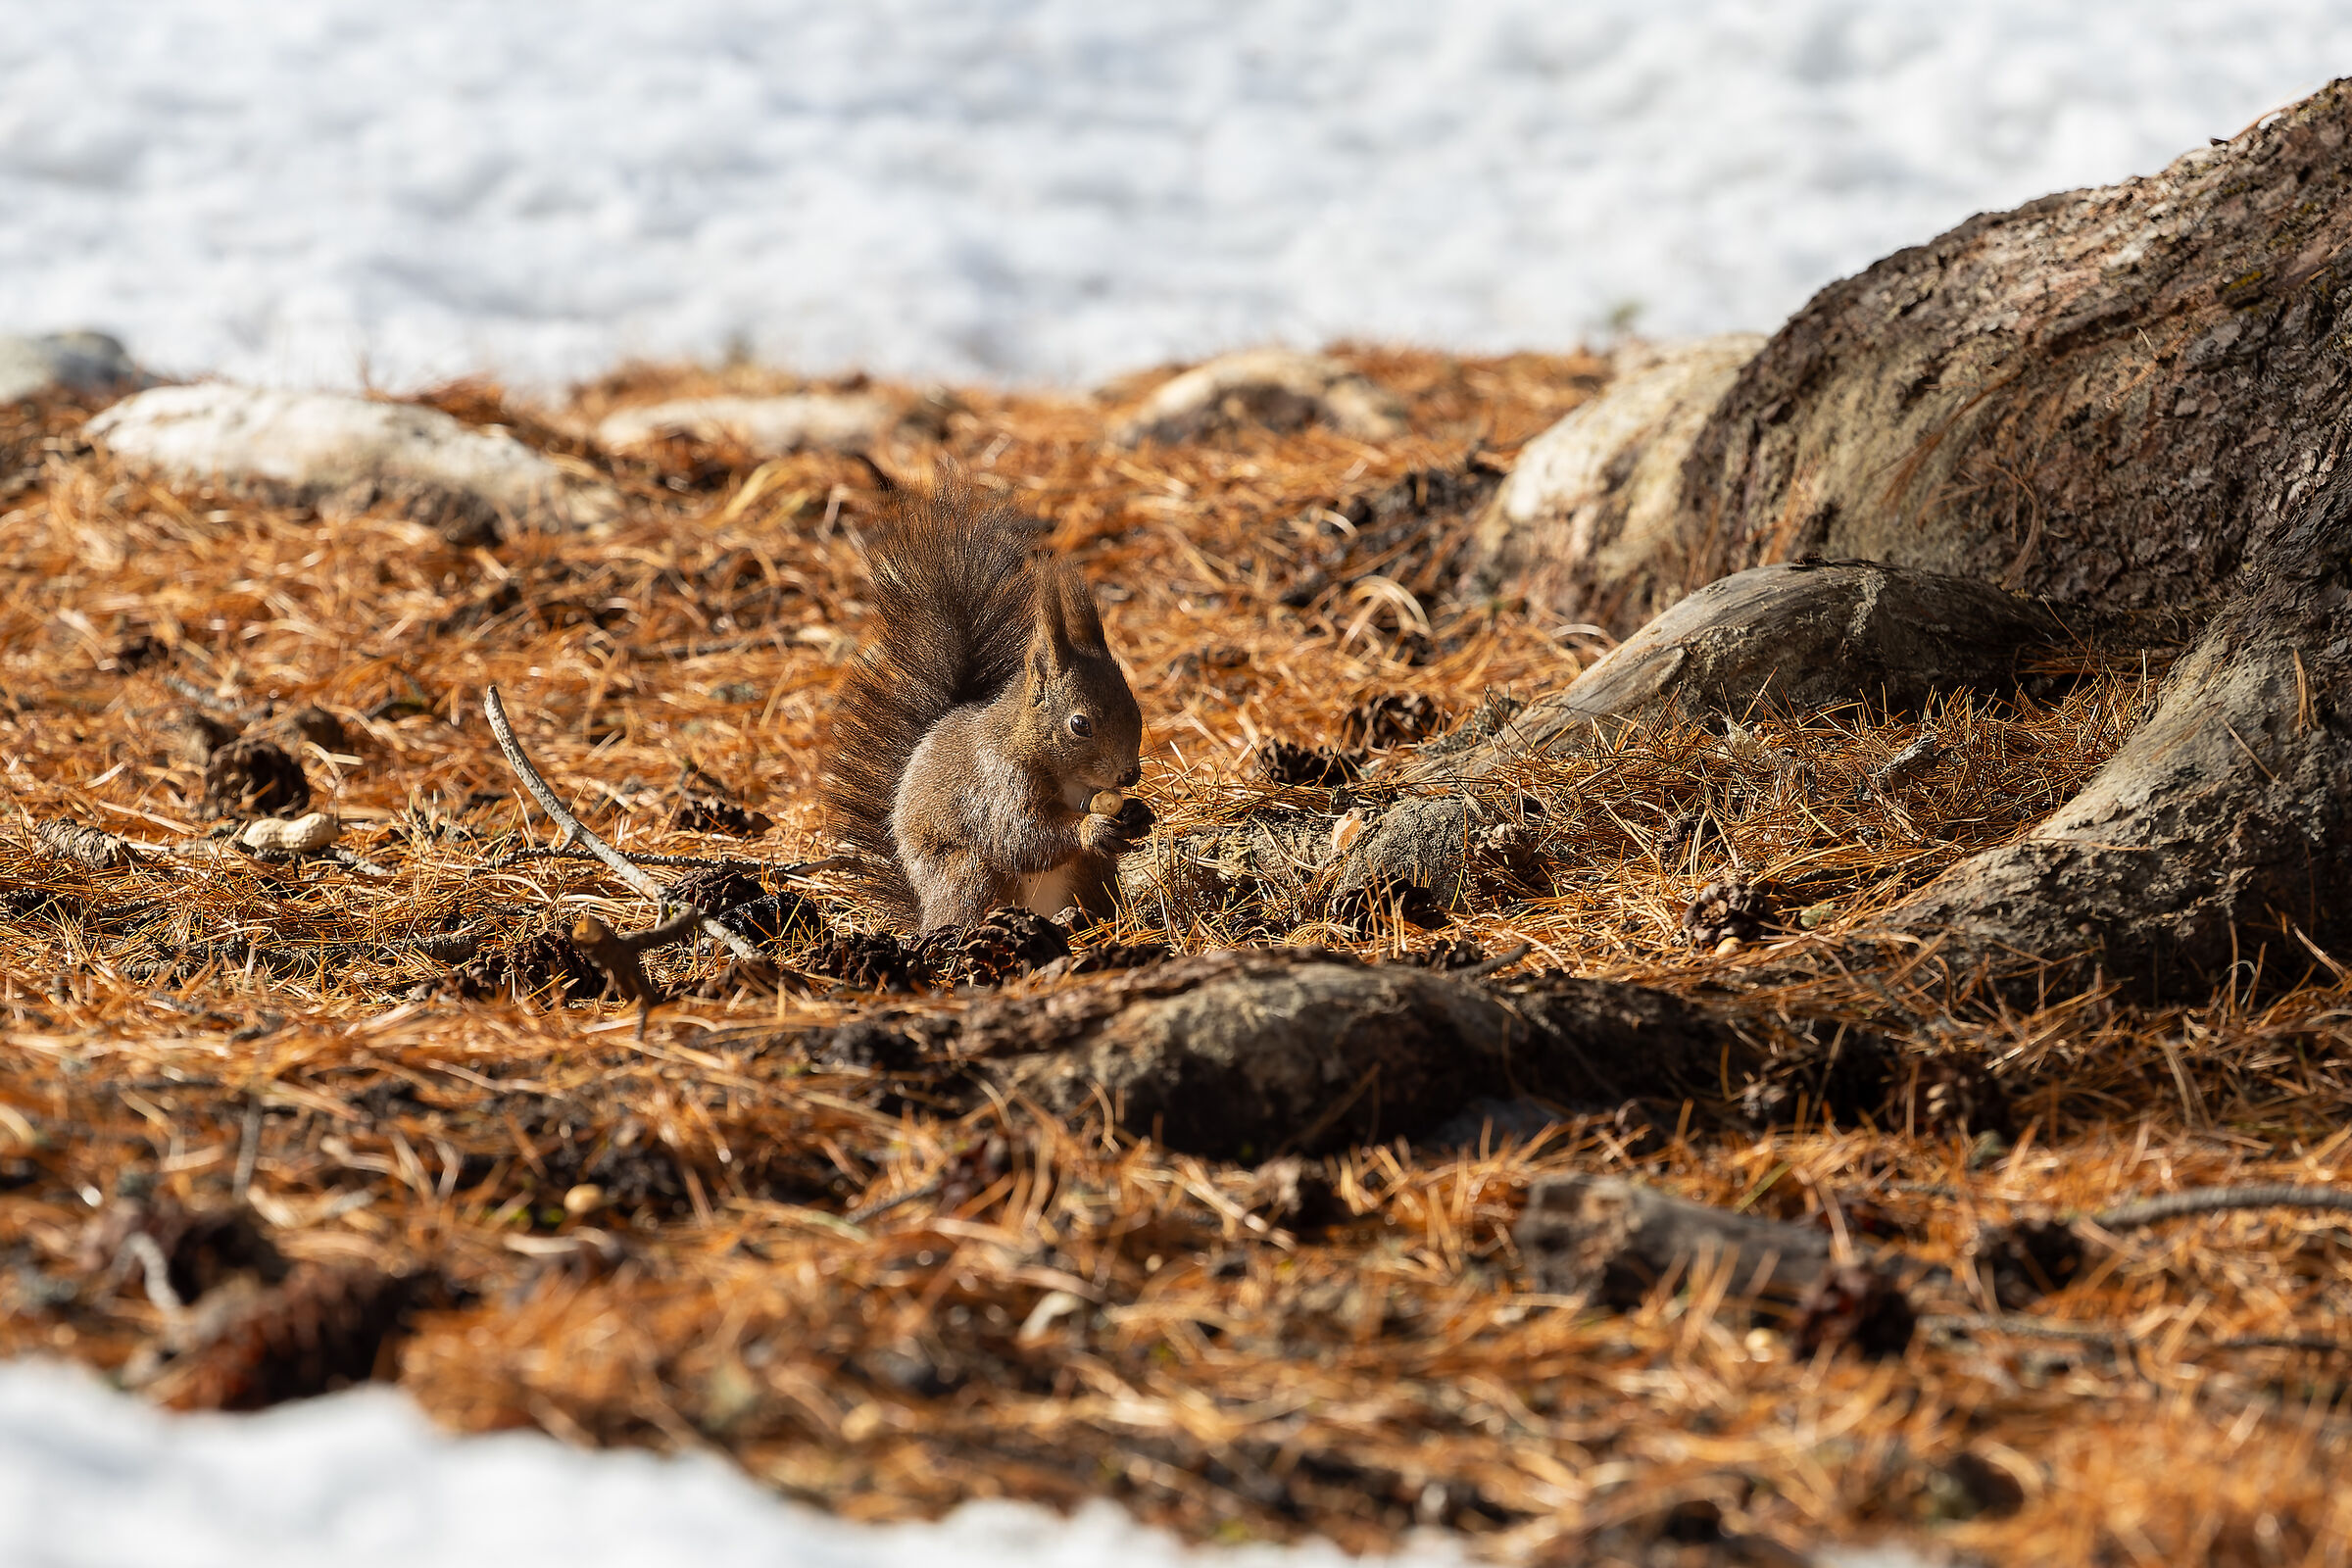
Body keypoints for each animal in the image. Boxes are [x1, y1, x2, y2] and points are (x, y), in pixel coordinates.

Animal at [824, 484, 1152, 932]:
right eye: (1079, 724)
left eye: (1137, 711)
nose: (1129, 774)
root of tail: (924, 912)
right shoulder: (998, 781)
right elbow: (1018, 836)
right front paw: (1091, 829)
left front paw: (1137, 813)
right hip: (969, 875)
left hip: (1094, 876)